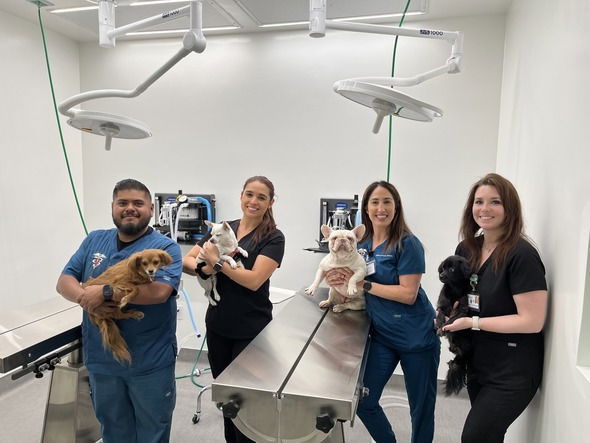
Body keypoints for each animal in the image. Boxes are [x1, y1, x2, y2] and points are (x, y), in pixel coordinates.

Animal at [438, 255, 474, 398]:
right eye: (443, 268)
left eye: (452, 269)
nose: (441, 275)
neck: (455, 288)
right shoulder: (441, 305)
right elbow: (440, 314)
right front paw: (438, 325)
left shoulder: (462, 310)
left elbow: (452, 321)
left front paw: (444, 328)